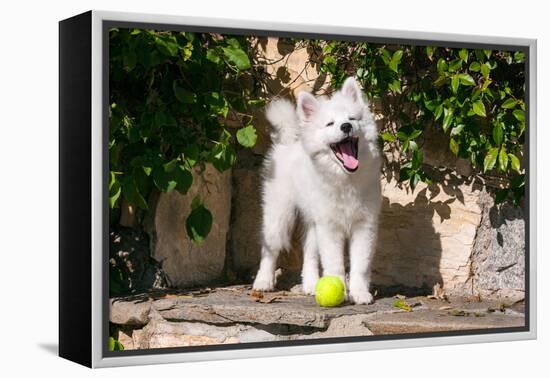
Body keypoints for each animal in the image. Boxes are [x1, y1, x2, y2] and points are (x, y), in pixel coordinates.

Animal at [254, 76, 384, 304]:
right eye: (330, 124)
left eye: (352, 118)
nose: (346, 126)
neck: (345, 178)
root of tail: (289, 140)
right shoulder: (330, 227)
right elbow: (335, 264)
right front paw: (341, 291)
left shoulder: (364, 226)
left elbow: (360, 265)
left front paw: (359, 293)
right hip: (279, 213)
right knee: (270, 248)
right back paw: (263, 281)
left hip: (313, 222)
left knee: (310, 254)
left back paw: (310, 285)